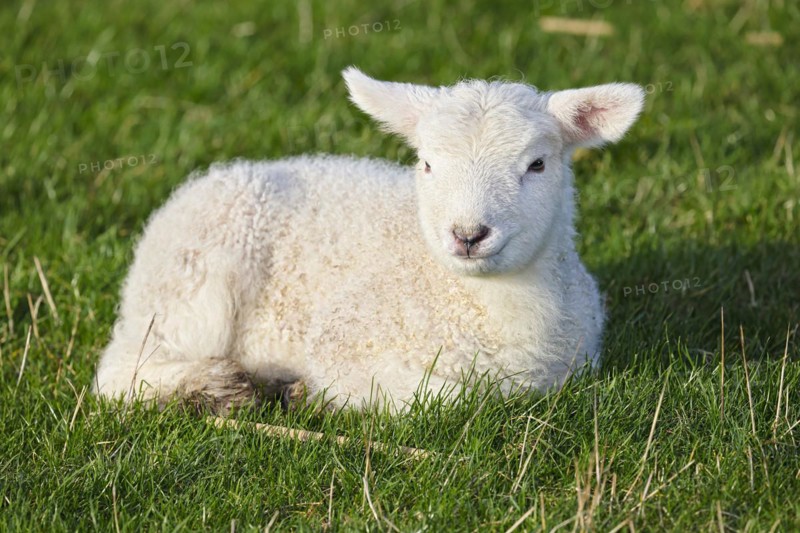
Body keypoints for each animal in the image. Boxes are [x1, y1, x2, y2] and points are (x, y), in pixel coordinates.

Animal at [92, 67, 644, 413]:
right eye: (427, 163)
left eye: (538, 164)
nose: (468, 235)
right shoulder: (343, 334)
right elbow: (449, 399)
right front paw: (316, 394)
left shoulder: (571, 367)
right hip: (190, 285)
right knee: (120, 370)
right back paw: (214, 387)